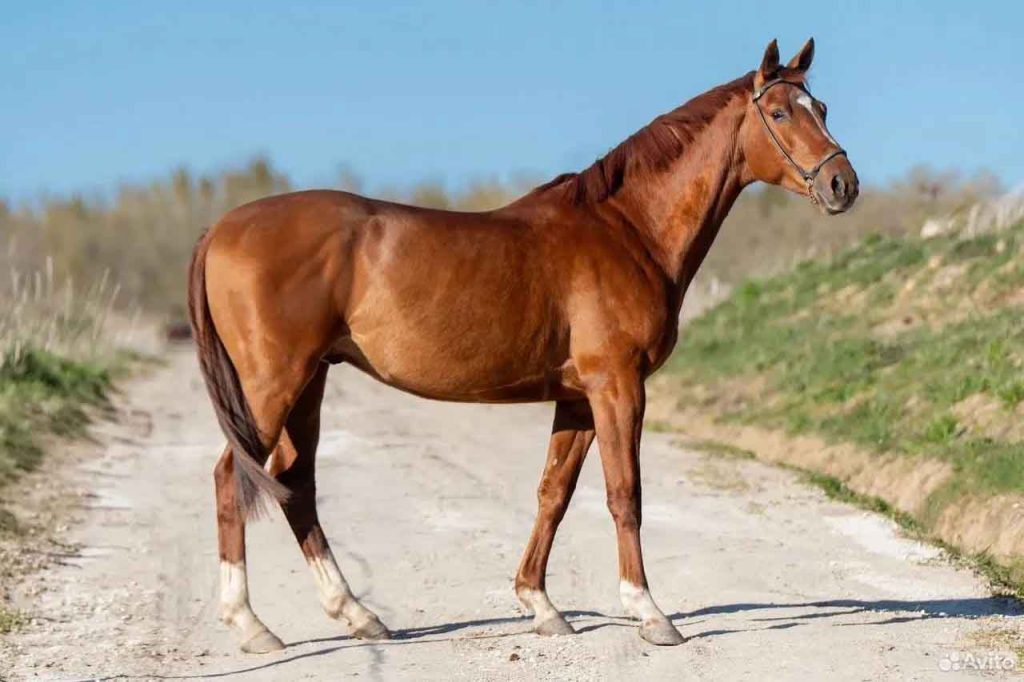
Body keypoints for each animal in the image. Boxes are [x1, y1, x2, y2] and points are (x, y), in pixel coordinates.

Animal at [188, 38, 858, 653]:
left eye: (821, 106)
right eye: (780, 113)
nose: (841, 183)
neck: (626, 229)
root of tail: (220, 228)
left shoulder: (579, 398)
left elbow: (553, 494)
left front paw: (540, 604)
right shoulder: (617, 387)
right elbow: (625, 495)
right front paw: (648, 613)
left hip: (311, 382)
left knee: (296, 484)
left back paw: (357, 614)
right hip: (272, 384)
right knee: (230, 477)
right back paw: (251, 624)